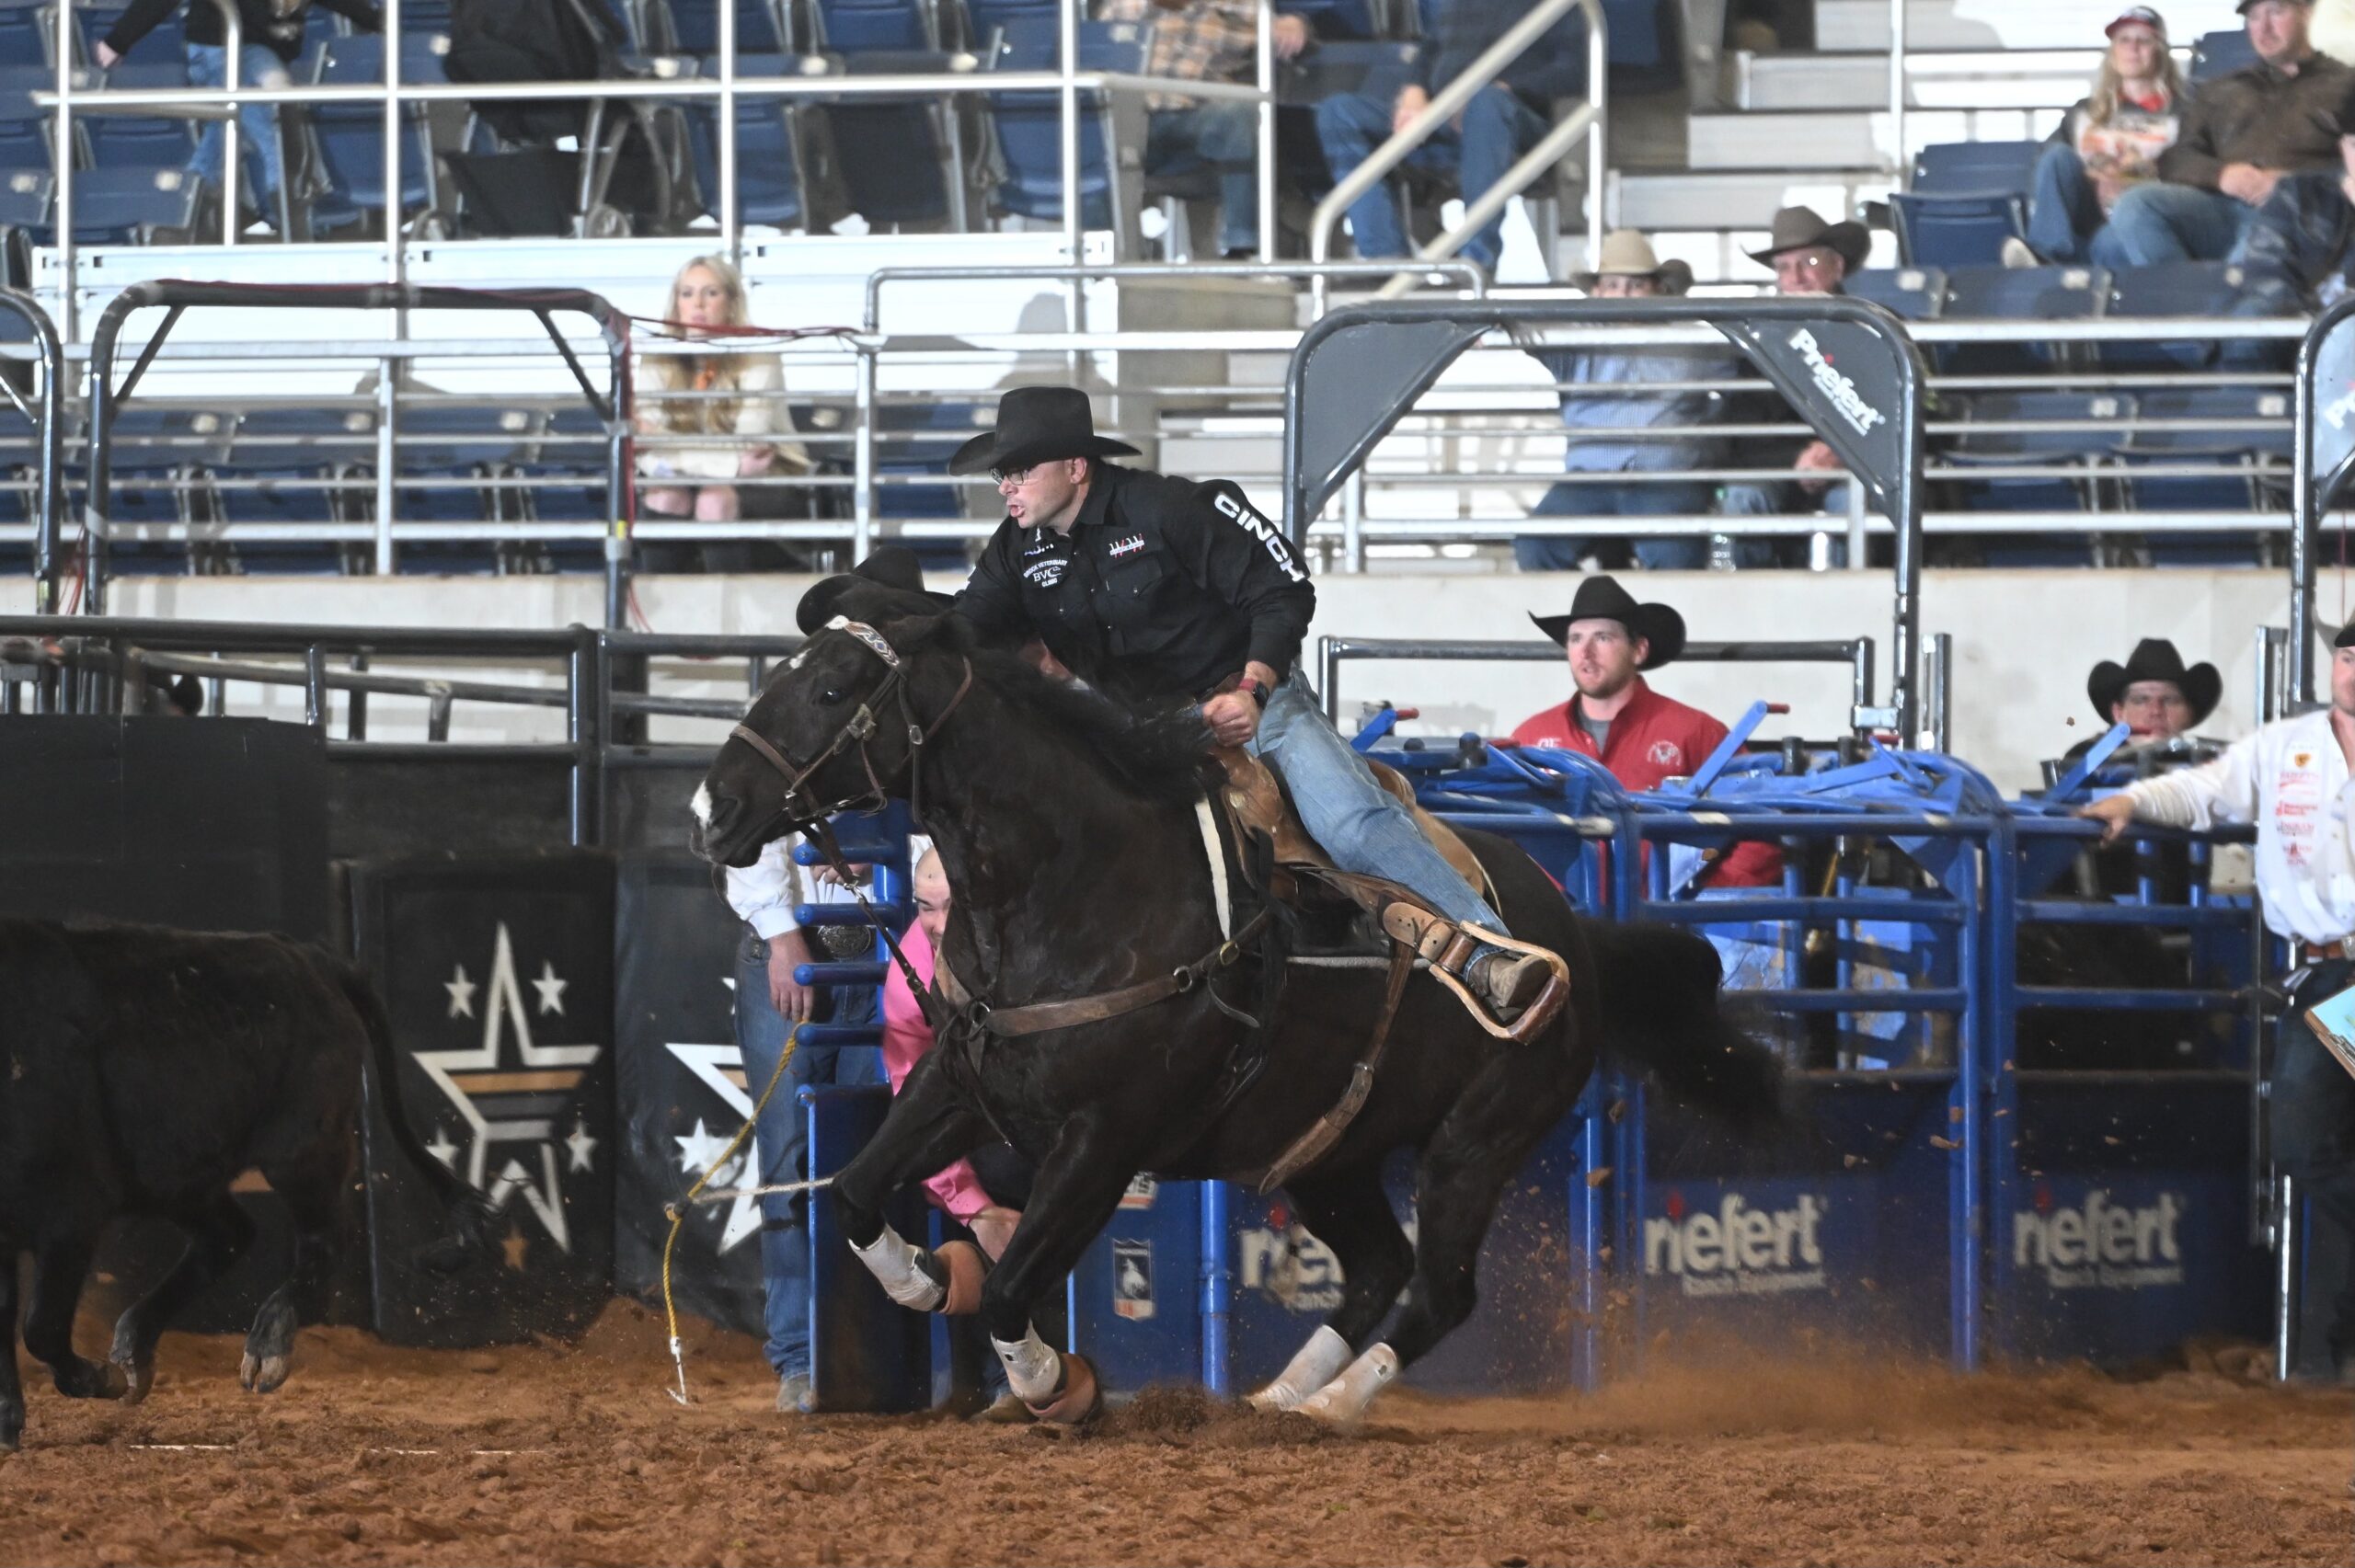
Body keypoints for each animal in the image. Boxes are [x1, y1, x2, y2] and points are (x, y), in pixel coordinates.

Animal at [687, 593, 1771, 1422]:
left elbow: (1008, 1286)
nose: (711, 810)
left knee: (1440, 1287)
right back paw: (1278, 1397)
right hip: (1331, 1149)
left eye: (833, 689)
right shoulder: (964, 1079)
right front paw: (921, 1275)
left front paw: (1052, 1384)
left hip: (1478, 1140)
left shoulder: (1105, 1139)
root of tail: (1573, 935)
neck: (1072, 881)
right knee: (1377, 1268)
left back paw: (1335, 1404)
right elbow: (858, 1192)